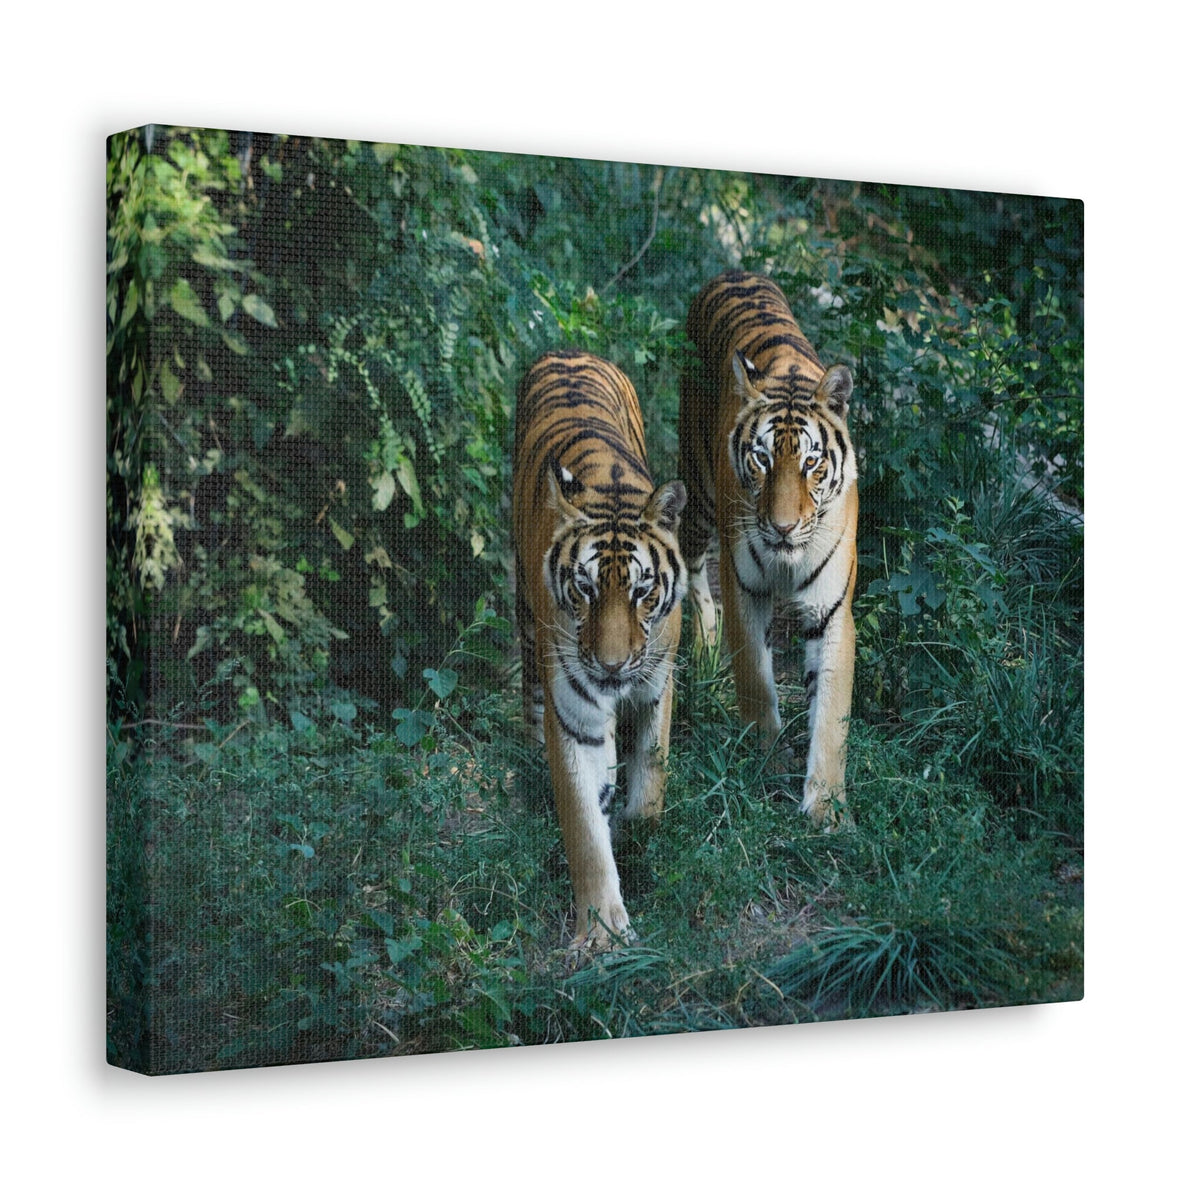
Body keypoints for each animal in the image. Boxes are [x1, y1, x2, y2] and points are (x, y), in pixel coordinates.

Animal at [513, 349, 688, 950]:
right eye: (585, 588)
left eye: (642, 590)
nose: (611, 666)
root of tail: (569, 351)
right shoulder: (574, 714)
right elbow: (585, 828)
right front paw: (601, 932)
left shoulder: (658, 682)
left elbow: (651, 781)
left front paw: (638, 834)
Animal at [677, 271, 857, 827]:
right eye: (761, 459)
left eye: (810, 464)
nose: (781, 527)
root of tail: (734, 272)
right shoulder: (744, 590)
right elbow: (756, 680)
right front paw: (768, 760)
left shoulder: (832, 610)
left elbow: (831, 715)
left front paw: (825, 806)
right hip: (699, 493)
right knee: (693, 567)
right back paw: (705, 646)